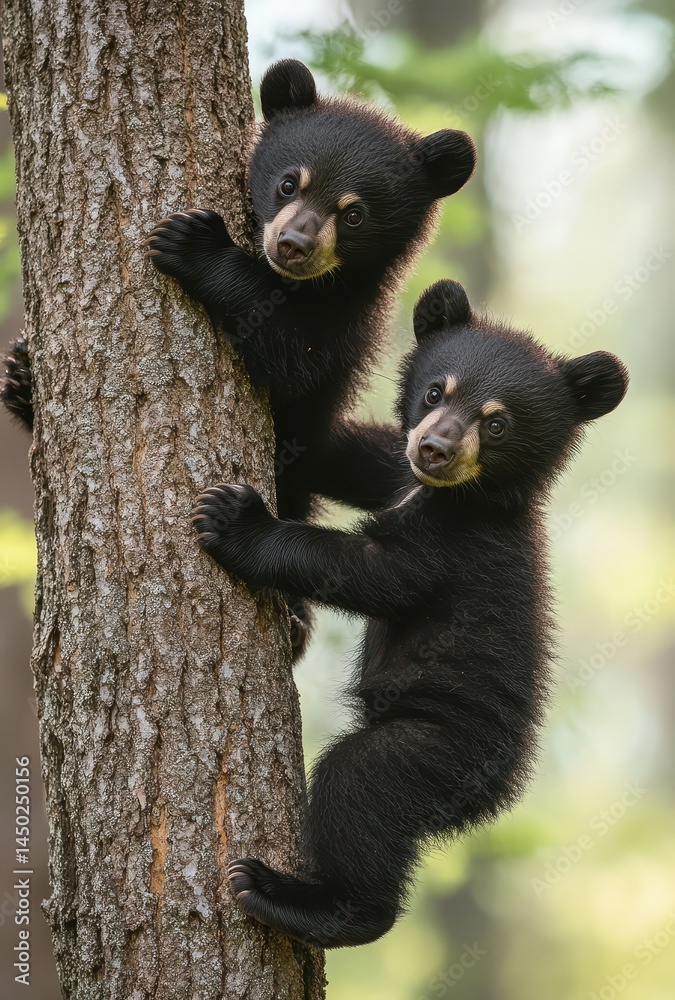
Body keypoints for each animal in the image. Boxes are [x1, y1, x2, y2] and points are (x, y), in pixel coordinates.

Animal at [189, 278, 629, 948]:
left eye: (496, 422)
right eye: (434, 391)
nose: (435, 447)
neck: (453, 495)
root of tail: (498, 795)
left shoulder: (454, 546)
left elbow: (368, 571)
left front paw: (237, 520)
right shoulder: (390, 467)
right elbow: (328, 446)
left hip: (435, 750)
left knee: (358, 789)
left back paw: (296, 900)